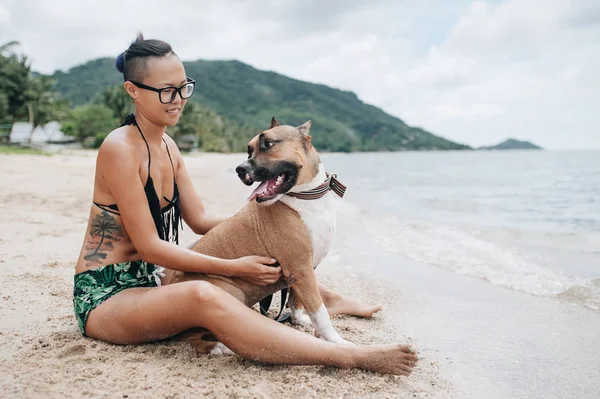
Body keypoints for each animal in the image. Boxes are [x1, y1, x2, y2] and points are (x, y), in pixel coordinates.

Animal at [169, 117, 346, 354]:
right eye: (248, 149)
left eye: (268, 144)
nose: (239, 169)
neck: (305, 197)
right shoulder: (301, 270)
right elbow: (321, 311)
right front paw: (337, 341)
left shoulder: (305, 271)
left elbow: (296, 301)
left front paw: (299, 320)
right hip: (224, 293)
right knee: (191, 333)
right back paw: (219, 347)